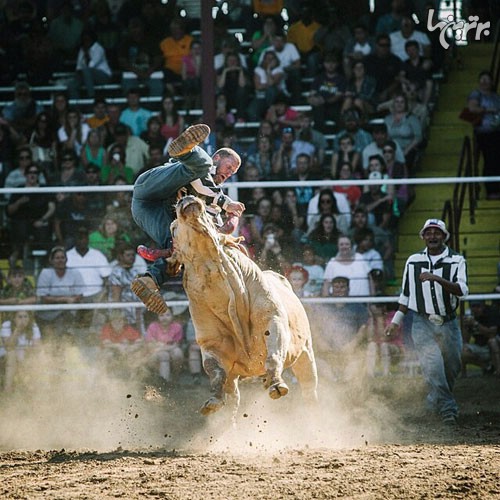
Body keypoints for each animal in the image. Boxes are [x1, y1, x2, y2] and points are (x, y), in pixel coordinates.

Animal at [166, 197, 318, 416]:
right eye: (173, 228)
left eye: (211, 219)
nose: (187, 199)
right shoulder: (211, 344)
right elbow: (215, 371)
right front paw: (214, 400)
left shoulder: (273, 322)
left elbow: (273, 355)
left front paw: (277, 384)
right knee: (233, 401)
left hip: (306, 352)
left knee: (309, 386)